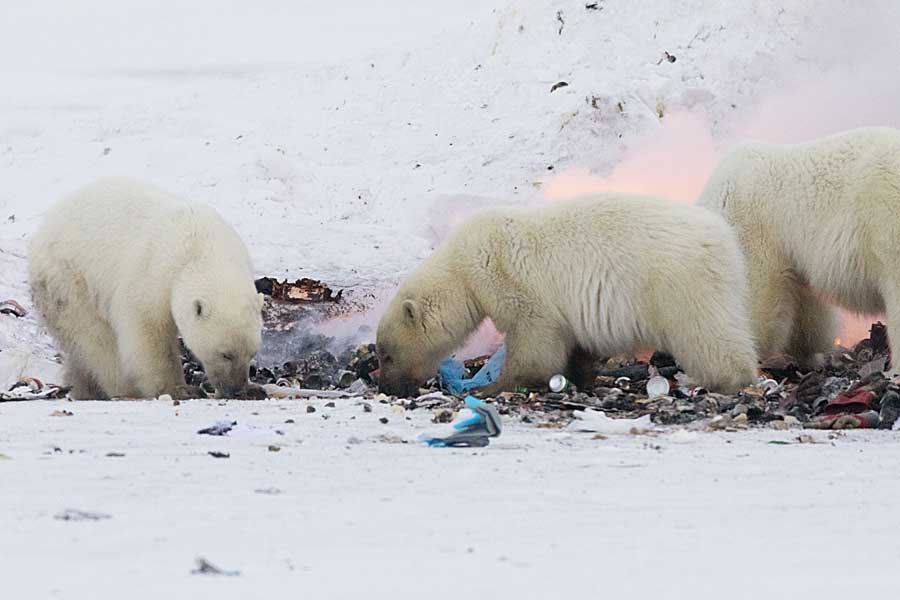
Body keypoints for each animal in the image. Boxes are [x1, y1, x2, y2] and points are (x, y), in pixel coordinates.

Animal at [29, 179, 268, 404]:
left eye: (252, 353)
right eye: (225, 354)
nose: (235, 389)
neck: (201, 247)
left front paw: (255, 389)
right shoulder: (152, 272)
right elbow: (149, 334)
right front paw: (180, 390)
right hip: (70, 281)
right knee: (98, 342)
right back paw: (123, 389)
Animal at [374, 195, 760, 396]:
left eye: (387, 355)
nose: (385, 387)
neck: (462, 266)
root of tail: (723, 237)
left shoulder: (509, 280)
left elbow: (535, 336)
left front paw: (490, 387)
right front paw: (581, 377)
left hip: (679, 283)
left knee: (705, 332)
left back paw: (725, 380)